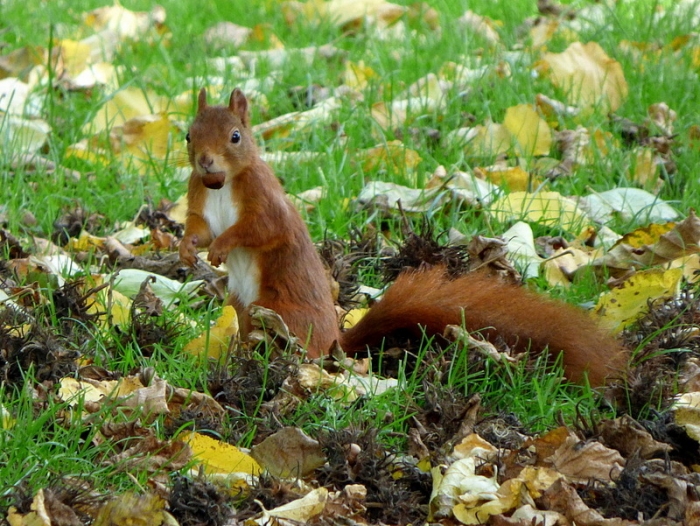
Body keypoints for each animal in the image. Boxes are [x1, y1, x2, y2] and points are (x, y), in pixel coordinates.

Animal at [179, 88, 627, 386]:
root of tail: (335, 342)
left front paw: (221, 246)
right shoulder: (199, 198)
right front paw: (188, 249)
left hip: (281, 310)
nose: (205, 161)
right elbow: (199, 227)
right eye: (188, 134)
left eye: (235, 136)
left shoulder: (264, 200)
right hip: (244, 308)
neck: (221, 184)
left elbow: (258, 229)